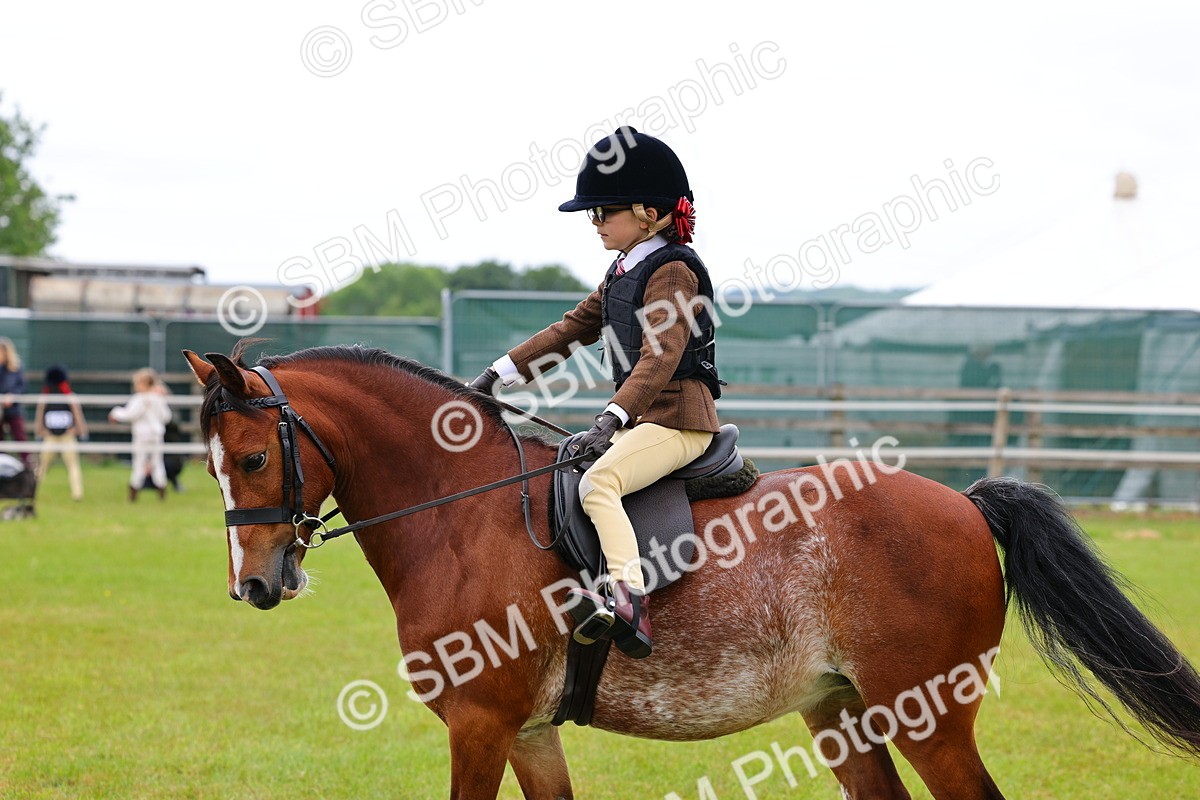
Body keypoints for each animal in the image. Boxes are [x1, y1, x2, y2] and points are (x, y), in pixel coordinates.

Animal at [184, 343, 1200, 799]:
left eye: (255, 460)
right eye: (215, 466)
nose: (255, 585)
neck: (459, 512)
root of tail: (963, 500)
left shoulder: (479, 727)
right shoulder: (527, 733)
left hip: (930, 716)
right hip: (843, 711)